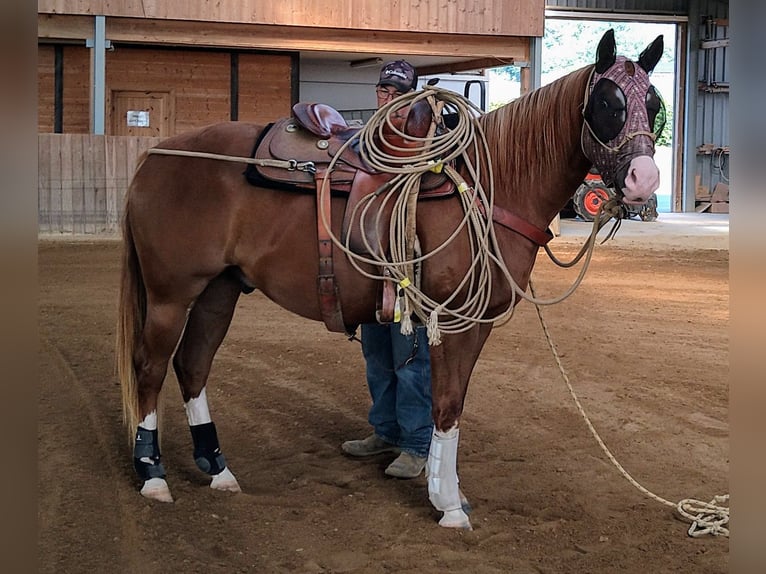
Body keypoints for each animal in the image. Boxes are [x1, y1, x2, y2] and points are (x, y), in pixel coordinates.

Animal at [117, 29, 664, 530]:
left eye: (653, 103)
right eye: (606, 103)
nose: (644, 180)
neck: (487, 189)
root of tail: (157, 156)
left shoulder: (477, 323)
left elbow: (453, 403)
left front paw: (448, 490)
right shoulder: (454, 322)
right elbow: (446, 404)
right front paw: (447, 504)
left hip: (219, 290)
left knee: (193, 364)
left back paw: (217, 469)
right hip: (170, 295)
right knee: (150, 367)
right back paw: (152, 474)